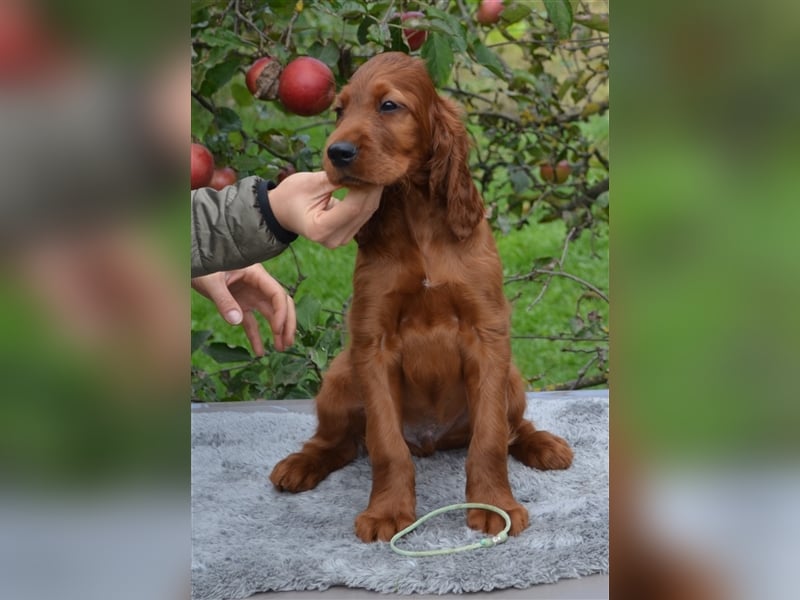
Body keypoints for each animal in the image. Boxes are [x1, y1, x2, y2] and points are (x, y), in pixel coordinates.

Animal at [272, 52, 572, 544]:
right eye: (339, 111)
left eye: (389, 105)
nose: (336, 153)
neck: (416, 214)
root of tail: (432, 441)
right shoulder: (372, 342)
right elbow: (385, 445)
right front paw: (388, 512)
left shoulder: (487, 335)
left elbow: (490, 437)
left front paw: (495, 505)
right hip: (339, 377)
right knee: (339, 443)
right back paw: (300, 465)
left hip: (512, 378)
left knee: (513, 428)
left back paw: (544, 444)